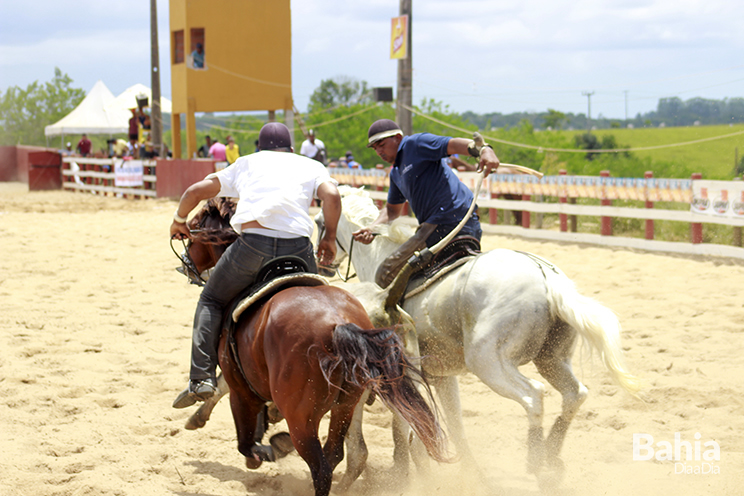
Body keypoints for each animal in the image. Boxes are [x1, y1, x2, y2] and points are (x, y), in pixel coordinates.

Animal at [316, 186, 644, 480]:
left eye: (320, 222)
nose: (324, 262)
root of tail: (547, 278)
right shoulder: (441, 376)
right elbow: (452, 423)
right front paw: (468, 472)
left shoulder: (405, 375)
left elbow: (405, 426)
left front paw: (405, 473)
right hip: (552, 358)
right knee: (575, 395)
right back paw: (551, 458)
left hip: (488, 362)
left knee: (534, 396)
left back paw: (535, 462)